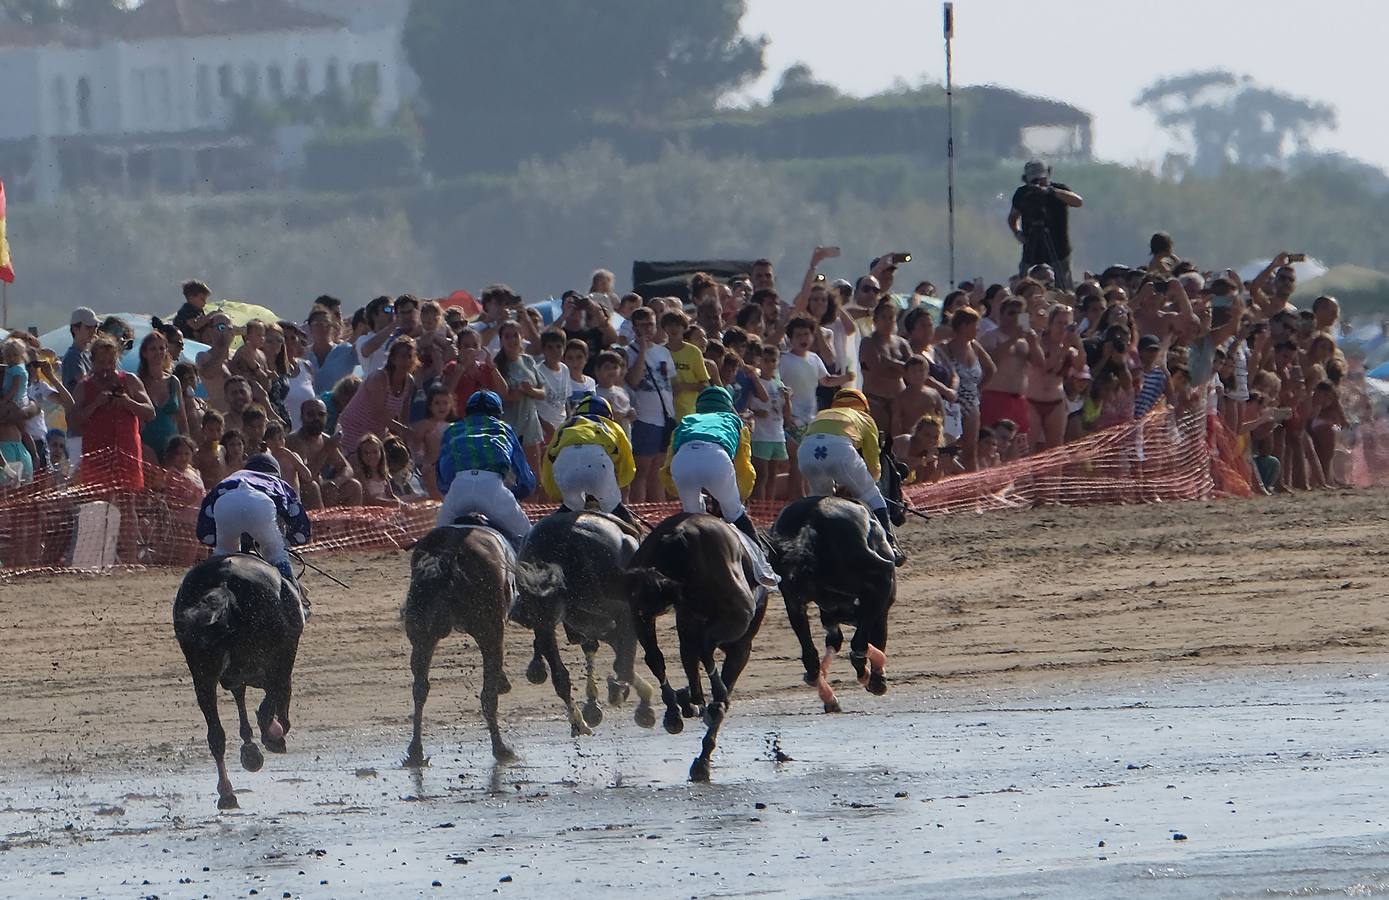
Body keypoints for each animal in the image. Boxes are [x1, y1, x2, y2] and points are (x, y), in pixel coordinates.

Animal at [173, 552, 304, 811]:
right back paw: (272, 734)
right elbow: (273, 700)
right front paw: (272, 736)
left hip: (202, 675)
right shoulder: (278, 663)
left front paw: (249, 748)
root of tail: (224, 582)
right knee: (271, 700)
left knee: (216, 735)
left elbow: (240, 697)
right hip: (277, 657)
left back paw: (227, 793)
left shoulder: (234, 675)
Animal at [405, 519, 519, 766]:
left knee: (420, 688)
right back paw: (501, 748)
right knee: (487, 695)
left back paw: (416, 750)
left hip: (422, 637)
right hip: (490, 630)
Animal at [513, 511, 658, 733]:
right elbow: (621, 660)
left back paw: (578, 722)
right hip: (618, 611)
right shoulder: (613, 621)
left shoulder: (589, 624)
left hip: (545, 618)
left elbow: (597, 649)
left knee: (560, 676)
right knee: (622, 664)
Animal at [630, 513, 772, 777]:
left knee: (655, 656)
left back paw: (675, 711)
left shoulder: (687, 625)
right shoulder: (741, 646)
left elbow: (689, 661)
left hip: (641, 609)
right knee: (706, 653)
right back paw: (715, 698)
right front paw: (703, 759)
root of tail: (679, 535)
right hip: (737, 615)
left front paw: (687, 700)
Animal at [766, 438, 905, 711]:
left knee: (810, 657)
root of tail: (810, 521)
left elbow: (835, 641)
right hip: (881, 581)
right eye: (898, 473)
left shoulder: (830, 609)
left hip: (793, 600)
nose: (901, 513)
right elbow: (870, 639)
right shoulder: (881, 603)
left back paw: (826, 692)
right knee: (858, 645)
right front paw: (876, 678)